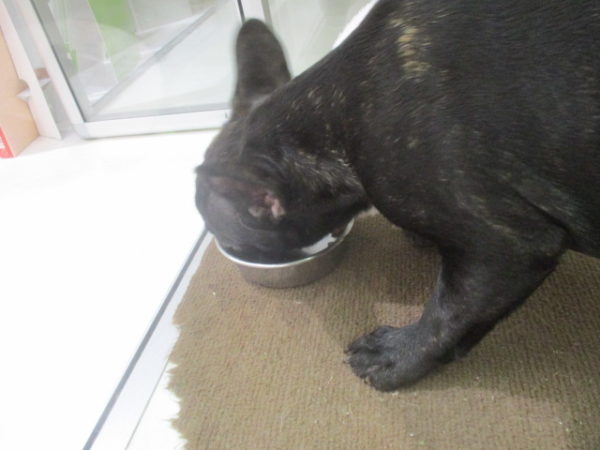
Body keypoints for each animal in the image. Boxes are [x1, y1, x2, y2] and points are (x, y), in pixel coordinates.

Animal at [195, 0, 600, 391]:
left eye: (233, 242)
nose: (232, 250)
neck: (334, 121)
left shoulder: (508, 247)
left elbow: (447, 314)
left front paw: (397, 358)